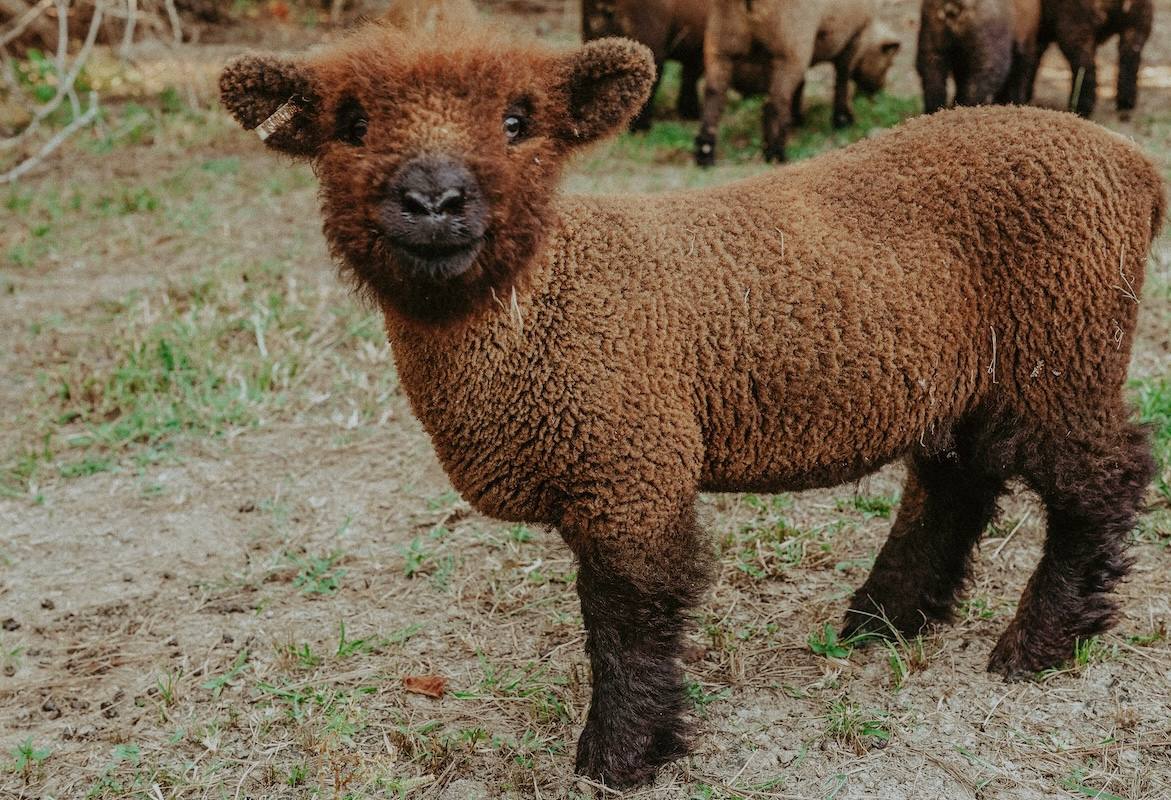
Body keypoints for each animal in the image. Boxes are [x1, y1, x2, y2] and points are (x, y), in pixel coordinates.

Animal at [219, 23, 1166, 788]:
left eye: (518, 121)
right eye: (350, 124)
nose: (432, 199)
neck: (547, 300)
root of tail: (1131, 165)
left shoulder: (629, 463)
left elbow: (627, 620)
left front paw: (620, 759)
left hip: (1061, 348)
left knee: (1103, 478)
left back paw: (1037, 645)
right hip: (968, 377)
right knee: (956, 486)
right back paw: (883, 620)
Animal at [696, 0, 901, 166]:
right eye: (889, 63)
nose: (877, 92)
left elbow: (800, 85)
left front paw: (797, 117)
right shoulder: (852, 38)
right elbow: (842, 79)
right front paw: (842, 119)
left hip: (720, 43)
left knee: (714, 95)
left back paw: (705, 153)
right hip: (790, 45)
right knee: (775, 104)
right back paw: (776, 154)